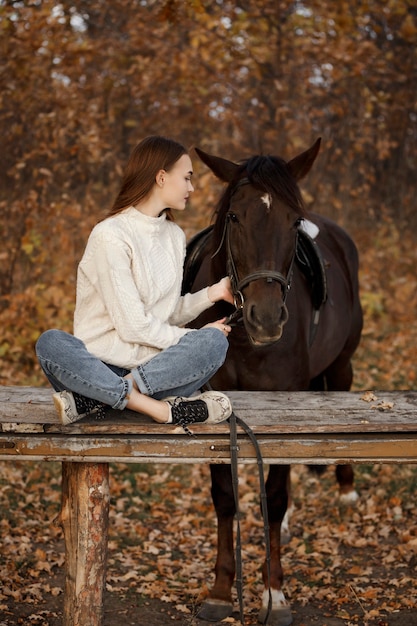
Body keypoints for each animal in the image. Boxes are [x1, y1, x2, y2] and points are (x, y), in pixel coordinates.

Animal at [184, 140, 362, 624]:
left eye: (293, 221)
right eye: (233, 216)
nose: (265, 318)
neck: (246, 340)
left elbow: (276, 497)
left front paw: (275, 594)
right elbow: (225, 497)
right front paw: (220, 591)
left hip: (342, 365)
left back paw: (346, 487)